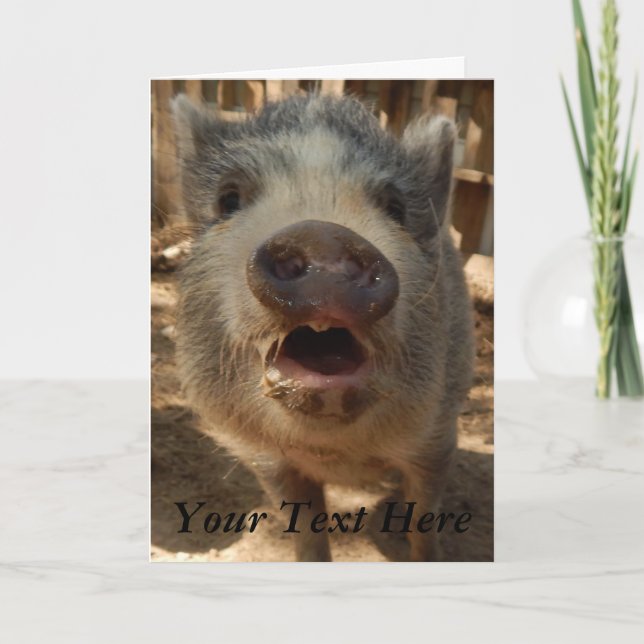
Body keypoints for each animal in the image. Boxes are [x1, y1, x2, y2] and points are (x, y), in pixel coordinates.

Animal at [171, 92, 474, 561]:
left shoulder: (438, 437)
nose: (323, 237)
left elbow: (425, 519)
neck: (335, 454)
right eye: (229, 199)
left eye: (396, 208)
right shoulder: (267, 461)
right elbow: (307, 535)